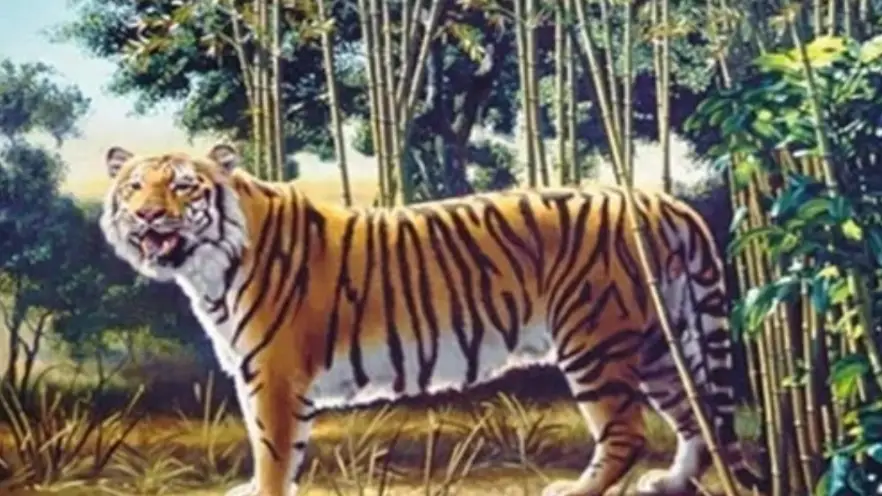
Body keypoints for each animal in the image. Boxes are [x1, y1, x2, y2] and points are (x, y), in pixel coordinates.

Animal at [99, 143, 765, 496]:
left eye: (184, 187)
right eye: (134, 186)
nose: (148, 216)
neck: (205, 270)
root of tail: (660, 200)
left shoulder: (273, 375)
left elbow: (272, 447)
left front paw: (261, 491)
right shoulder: (263, 374)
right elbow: (284, 448)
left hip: (594, 342)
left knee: (626, 433)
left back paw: (576, 491)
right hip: (658, 341)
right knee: (697, 414)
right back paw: (671, 482)